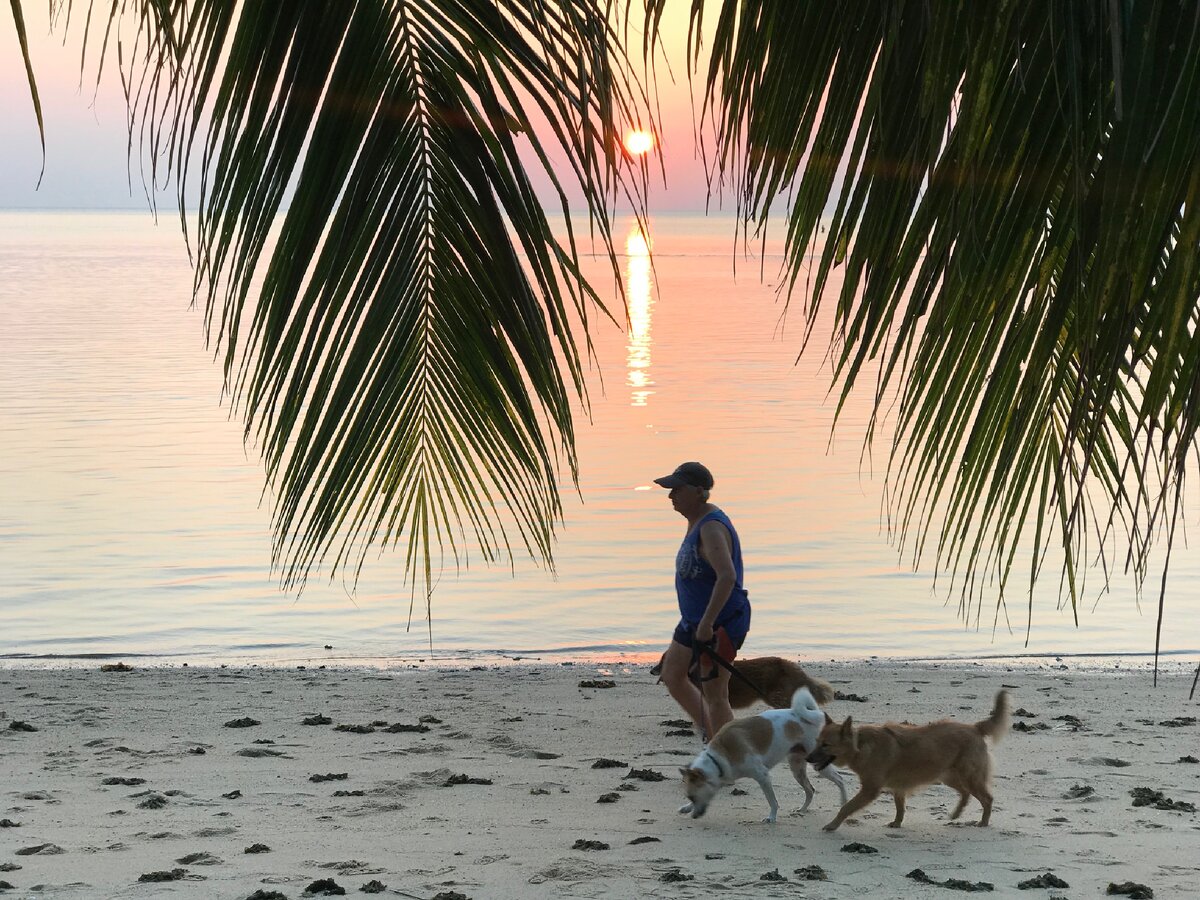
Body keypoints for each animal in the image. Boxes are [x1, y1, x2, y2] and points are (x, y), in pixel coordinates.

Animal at [681, 691, 849, 825]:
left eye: (693, 797)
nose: (694, 816)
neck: (718, 757)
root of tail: (811, 715)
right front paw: (686, 808)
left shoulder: (763, 776)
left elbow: (772, 801)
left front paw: (771, 817)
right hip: (797, 767)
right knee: (810, 790)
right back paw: (802, 810)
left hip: (818, 763)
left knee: (840, 779)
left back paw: (843, 803)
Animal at [816, 691, 1012, 830]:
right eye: (818, 742)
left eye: (826, 745)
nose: (810, 758)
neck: (860, 745)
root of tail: (974, 727)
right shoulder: (898, 787)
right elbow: (900, 807)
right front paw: (897, 823)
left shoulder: (870, 790)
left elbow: (846, 807)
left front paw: (833, 824)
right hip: (949, 776)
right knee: (965, 793)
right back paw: (956, 814)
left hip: (969, 777)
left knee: (987, 799)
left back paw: (983, 822)